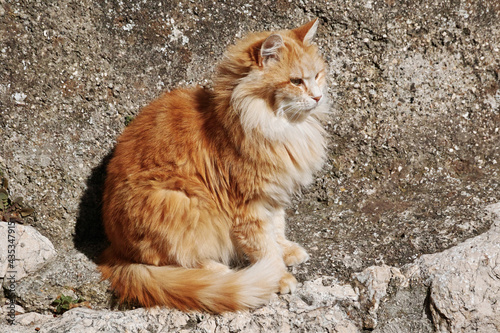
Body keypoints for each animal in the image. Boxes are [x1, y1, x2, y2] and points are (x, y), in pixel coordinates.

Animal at [99, 19, 330, 312]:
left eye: (318, 75)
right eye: (296, 81)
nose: (318, 97)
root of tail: (113, 251)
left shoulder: (273, 193)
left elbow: (277, 228)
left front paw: (286, 250)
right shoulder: (248, 205)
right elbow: (264, 246)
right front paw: (278, 276)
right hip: (180, 202)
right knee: (175, 262)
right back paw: (222, 272)